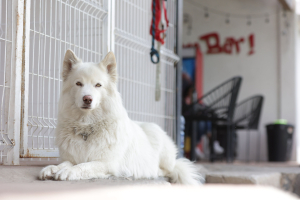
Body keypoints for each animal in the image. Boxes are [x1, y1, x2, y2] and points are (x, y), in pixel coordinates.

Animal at [38, 50, 202, 184]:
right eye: (78, 83)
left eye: (98, 85)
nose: (87, 99)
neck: (87, 127)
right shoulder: (72, 158)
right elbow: (65, 163)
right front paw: (52, 168)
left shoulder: (106, 163)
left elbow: (84, 166)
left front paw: (69, 171)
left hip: (161, 149)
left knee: (167, 170)